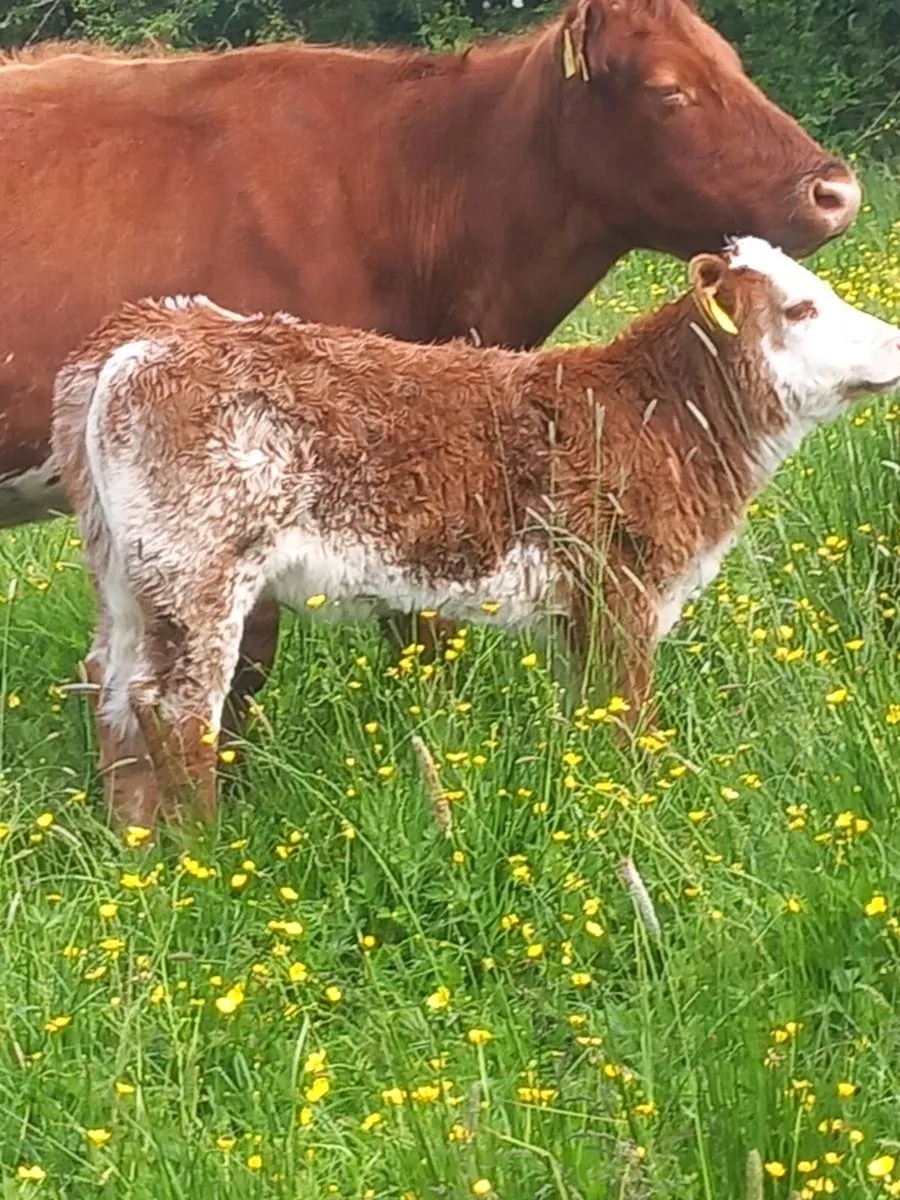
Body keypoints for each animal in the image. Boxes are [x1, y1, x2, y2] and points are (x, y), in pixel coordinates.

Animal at [51, 237, 900, 829]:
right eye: (800, 309)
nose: (894, 344)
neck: (650, 412)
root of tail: (153, 330)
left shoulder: (577, 615)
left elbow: (589, 713)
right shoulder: (621, 590)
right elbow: (631, 716)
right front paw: (640, 807)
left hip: (125, 572)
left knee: (111, 684)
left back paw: (137, 847)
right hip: (198, 570)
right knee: (174, 707)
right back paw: (207, 850)